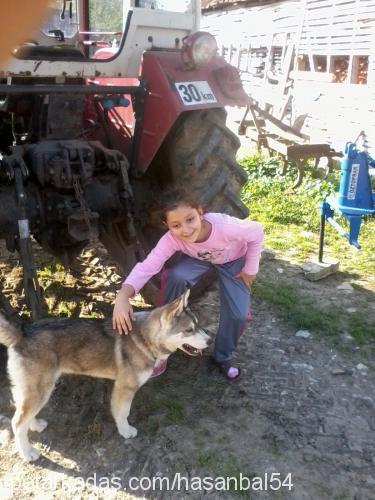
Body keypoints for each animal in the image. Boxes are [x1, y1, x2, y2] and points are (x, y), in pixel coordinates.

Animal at [0, 292, 212, 462]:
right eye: (189, 330)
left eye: (198, 325)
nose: (210, 341)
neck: (146, 338)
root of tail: (22, 333)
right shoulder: (125, 388)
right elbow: (122, 413)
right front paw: (126, 431)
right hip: (41, 389)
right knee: (17, 423)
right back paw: (27, 453)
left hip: (31, 390)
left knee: (22, 412)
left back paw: (35, 425)